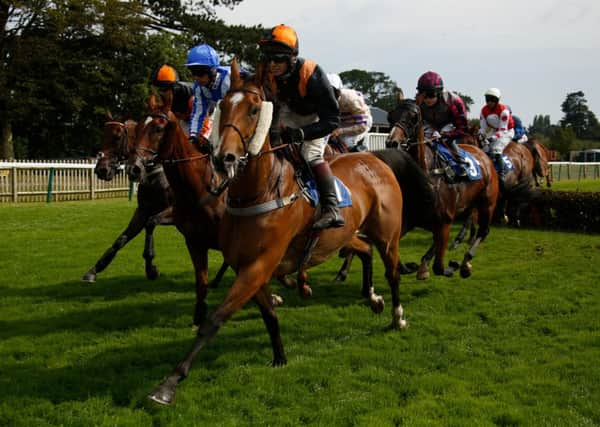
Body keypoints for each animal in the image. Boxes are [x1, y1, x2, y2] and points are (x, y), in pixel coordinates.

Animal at [146, 59, 408, 404]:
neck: (258, 193)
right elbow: (269, 314)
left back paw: (397, 315)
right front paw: (280, 356)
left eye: (254, 109)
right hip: (342, 235)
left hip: (387, 236)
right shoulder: (246, 265)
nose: (224, 158)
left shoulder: (259, 265)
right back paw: (373, 297)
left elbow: (215, 319)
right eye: (223, 107)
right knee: (363, 251)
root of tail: (374, 159)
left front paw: (169, 383)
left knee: (392, 272)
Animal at [386, 100, 500, 280]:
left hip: (487, 203)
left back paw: (465, 263)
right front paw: (414, 266)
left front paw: (452, 265)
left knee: (483, 231)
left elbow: (439, 267)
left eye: (413, 117)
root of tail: (485, 157)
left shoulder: (445, 221)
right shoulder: (410, 219)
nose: (392, 142)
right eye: (390, 116)